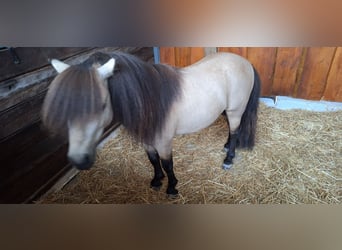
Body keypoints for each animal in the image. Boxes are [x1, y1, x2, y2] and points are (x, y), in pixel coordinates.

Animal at [41, 51, 260, 197]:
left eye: (102, 104)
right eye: (66, 106)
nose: (79, 160)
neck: (149, 100)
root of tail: (245, 62)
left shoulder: (164, 141)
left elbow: (168, 164)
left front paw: (171, 187)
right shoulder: (148, 140)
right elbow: (153, 160)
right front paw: (156, 180)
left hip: (235, 111)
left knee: (236, 132)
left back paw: (229, 158)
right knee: (232, 131)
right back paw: (226, 146)